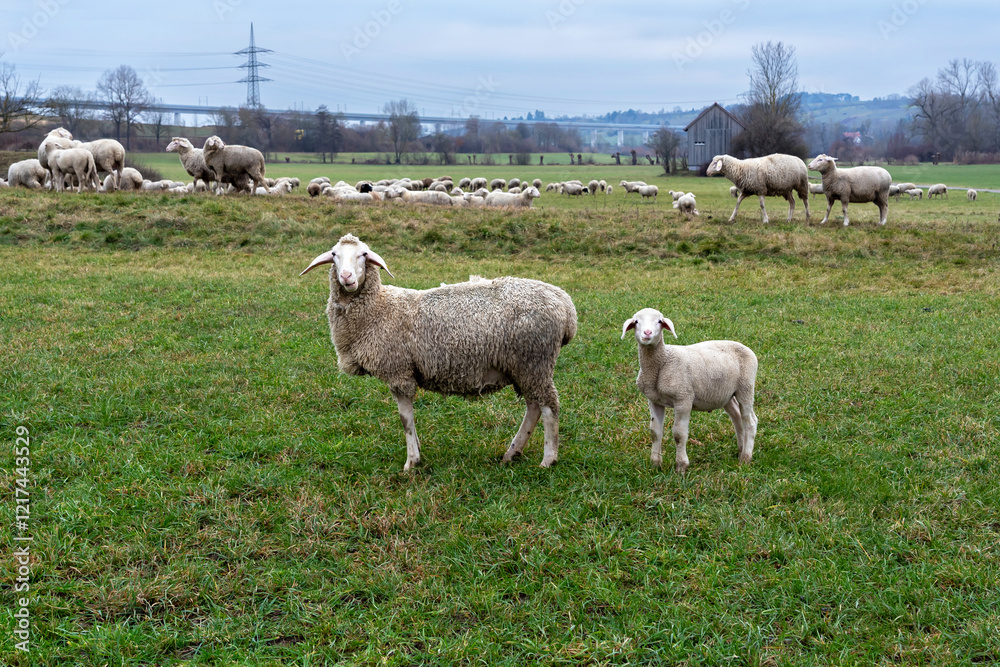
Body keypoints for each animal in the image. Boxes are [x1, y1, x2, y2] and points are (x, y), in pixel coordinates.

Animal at [300, 233, 577, 471]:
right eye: (334, 254)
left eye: (364, 254)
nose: (347, 277)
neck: (379, 308)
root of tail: (566, 306)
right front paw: (418, 452)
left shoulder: (399, 372)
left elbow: (405, 420)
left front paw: (411, 462)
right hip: (526, 366)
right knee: (534, 407)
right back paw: (512, 453)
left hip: (534, 360)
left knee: (549, 407)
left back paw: (548, 459)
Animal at [621, 308, 758, 473]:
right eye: (636, 321)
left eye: (659, 321)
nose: (647, 333)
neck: (663, 361)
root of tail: (746, 347)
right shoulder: (654, 400)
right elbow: (655, 432)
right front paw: (655, 464)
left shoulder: (683, 398)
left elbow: (679, 434)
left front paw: (681, 466)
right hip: (726, 394)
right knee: (737, 418)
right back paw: (740, 450)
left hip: (746, 388)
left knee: (750, 422)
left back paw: (745, 458)